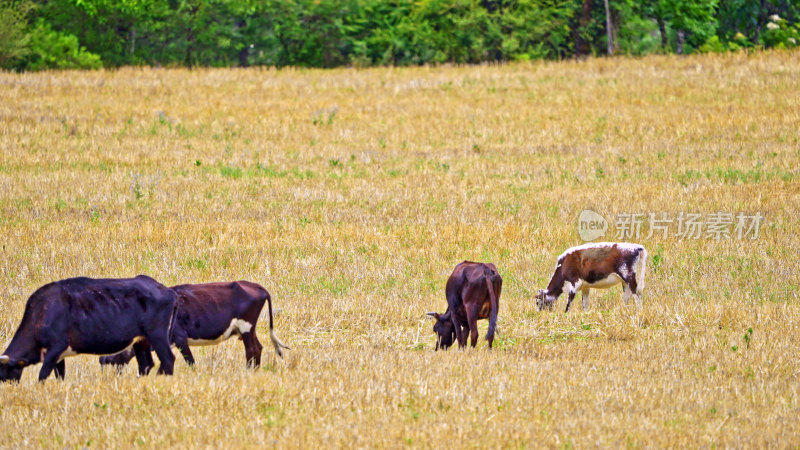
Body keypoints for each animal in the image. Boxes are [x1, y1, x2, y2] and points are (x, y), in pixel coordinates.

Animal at [0, 274, 177, 384]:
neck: (42, 311)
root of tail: (165, 289)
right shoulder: (59, 356)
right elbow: (59, 376)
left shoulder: (55, 348)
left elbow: (42, 375)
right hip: (141, 340)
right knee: (146, 364)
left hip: (157, 335)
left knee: (168, 359)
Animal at [98, 282, 290, 372]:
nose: (102, 359)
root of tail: (256, 286)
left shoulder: (180, 338)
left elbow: (189, 361)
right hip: (249, 329)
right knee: (258, 348)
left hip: (246, 327)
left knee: (252, 350)